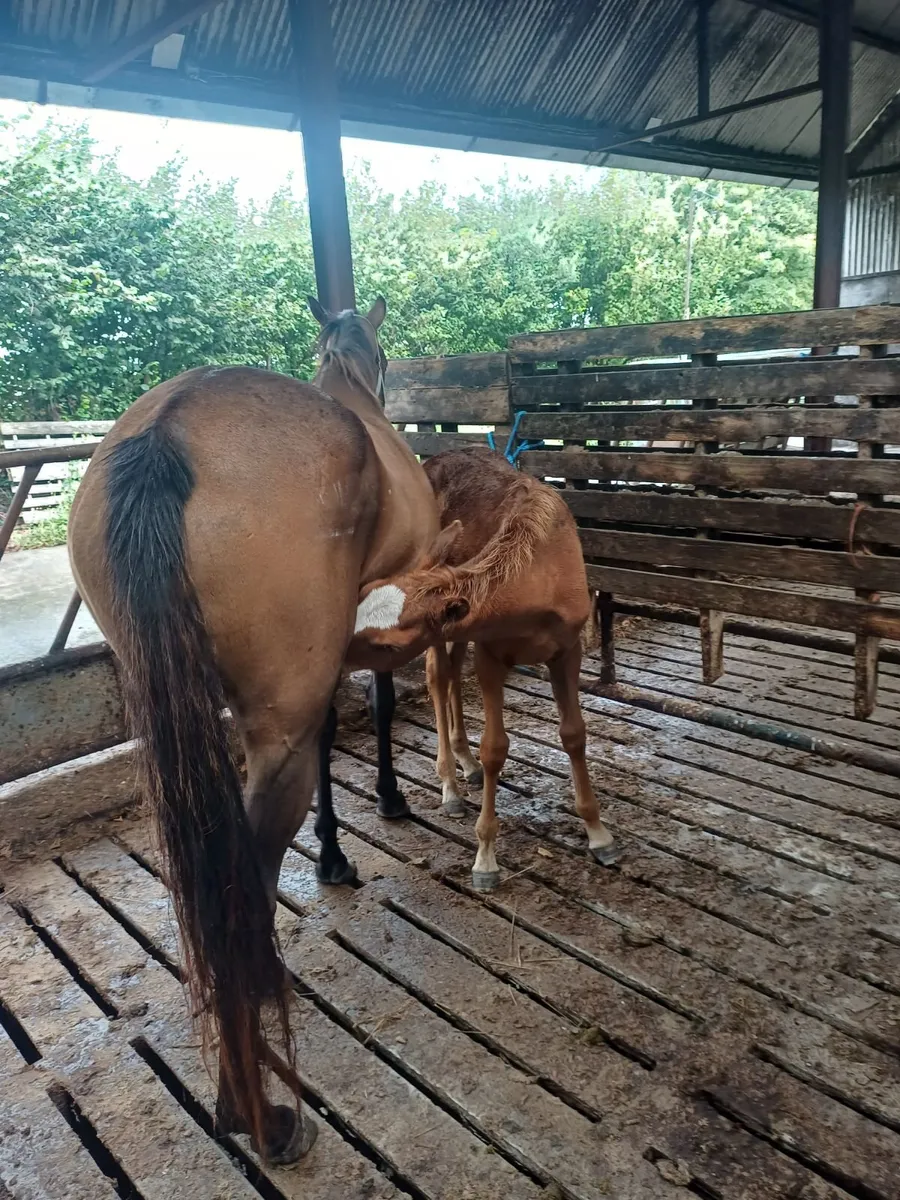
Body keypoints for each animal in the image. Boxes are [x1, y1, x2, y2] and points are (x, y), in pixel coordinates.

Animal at [66, 297, 458, 1164]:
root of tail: (167, 435)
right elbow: (378, 708)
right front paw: (384, 804)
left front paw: (336, 852)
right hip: (273, 738)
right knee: (237, 886)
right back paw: (259, 1111)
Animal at [354, 446, 619, 891]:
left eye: (387, 643)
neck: (538, 583)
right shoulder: (490, 650)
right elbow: (496, 747)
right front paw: (485, 858)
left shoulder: (568, 649)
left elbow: (574, 734)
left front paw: (599, 834)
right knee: (438, 675)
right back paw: (450, 784)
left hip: (457, 622)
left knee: (450, 671)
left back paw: (465, 762)